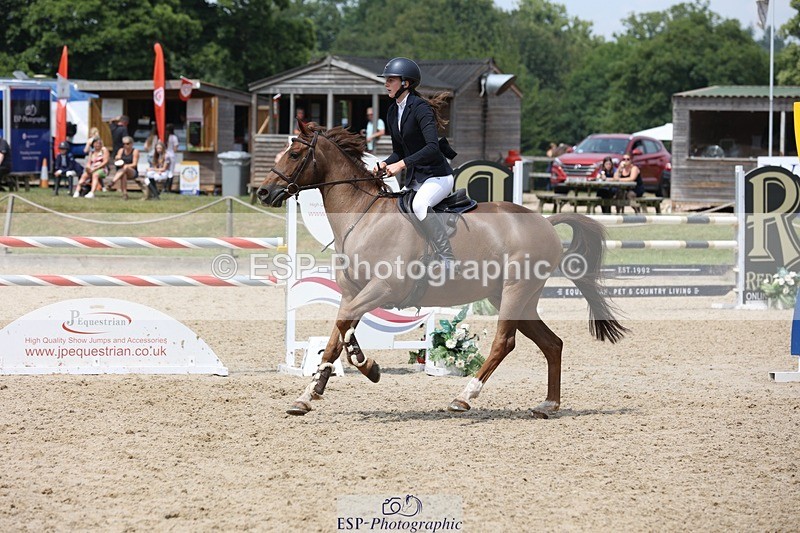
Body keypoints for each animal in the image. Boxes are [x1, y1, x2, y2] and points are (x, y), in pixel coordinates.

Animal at [257, 121, 627, 416]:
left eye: (293, 155)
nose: (263, 192)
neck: (364, 216)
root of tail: (545, 222)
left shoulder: (384, 288)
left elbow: (344, 329)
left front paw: (369, 367)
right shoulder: (352, 293)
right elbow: (337, 336)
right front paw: (307, 396)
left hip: (515, 292)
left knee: (504, 343)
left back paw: (464, 397)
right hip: (515, 298)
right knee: (552, 344)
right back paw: (548, 404)